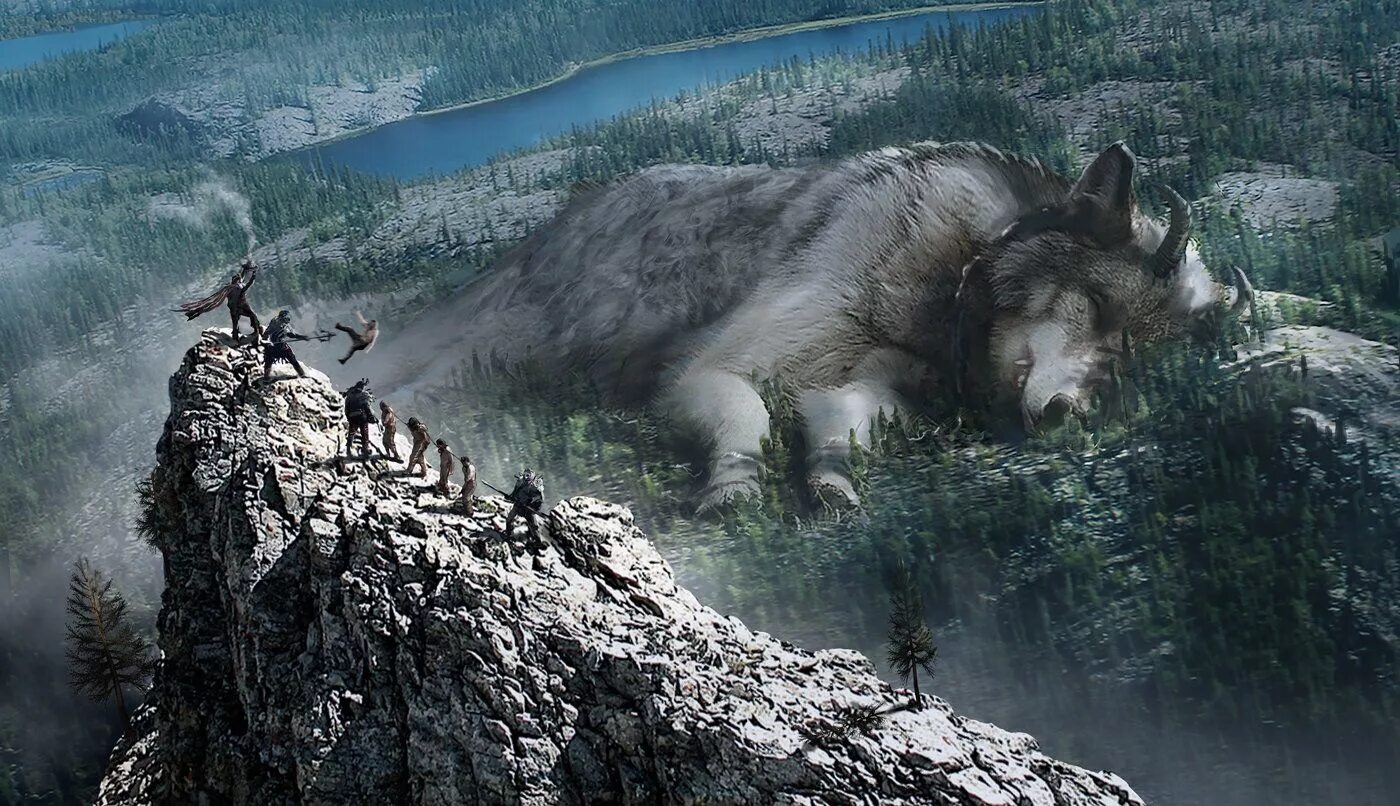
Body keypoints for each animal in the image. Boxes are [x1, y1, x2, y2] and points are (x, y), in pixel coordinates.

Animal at [379, 141, 1251, 511]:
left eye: (1126, 360)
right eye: (1099, 309)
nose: (1073, 414)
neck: (948, 281)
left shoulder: (862, 384)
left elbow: (839, 432)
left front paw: (829, 482)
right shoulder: (718, 367)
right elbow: (747, 417)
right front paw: (732, 489)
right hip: (496, 356)